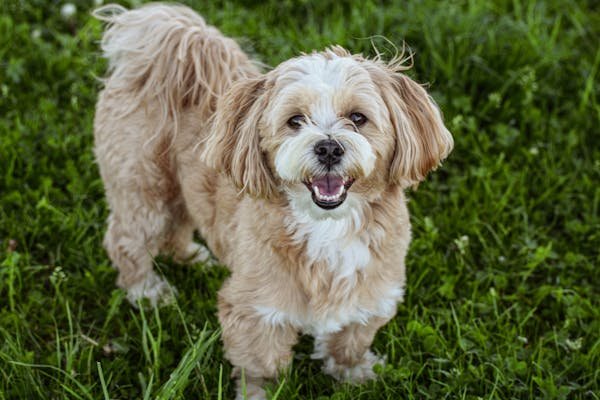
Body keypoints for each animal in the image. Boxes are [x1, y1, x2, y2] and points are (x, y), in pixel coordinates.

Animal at [92, 3, 450, 400]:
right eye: (295, 120)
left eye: (358, 117)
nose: (328, 147)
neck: (328, 228)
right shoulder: (255, 309)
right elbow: (260, 364)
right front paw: (259, 392)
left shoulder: (370, 294)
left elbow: (350, 339)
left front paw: (353, 373)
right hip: (143, 188)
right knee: (127, 240)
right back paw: (146, 291)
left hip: (179, 188)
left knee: (180, 222)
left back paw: (191, 257)